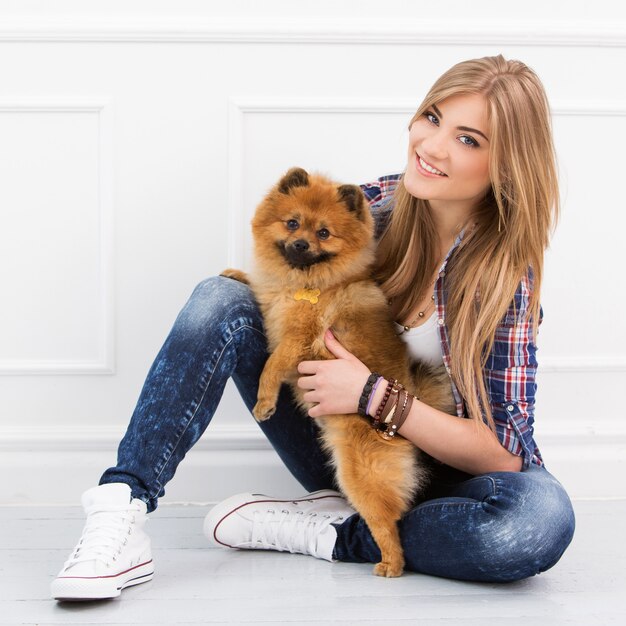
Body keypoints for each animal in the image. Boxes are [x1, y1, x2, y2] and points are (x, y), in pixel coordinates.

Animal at [222, 166, 450, 576]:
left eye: (324, 233)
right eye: (292, 223)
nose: (299, 245)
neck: (303, 284)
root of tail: (408, 400)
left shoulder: (298, 341)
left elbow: (271, 366)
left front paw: (264, 402)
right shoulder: (273, 302)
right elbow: (258, 286)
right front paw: (236, 273)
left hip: (360, 470)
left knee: (388, 520)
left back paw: (391, 563)